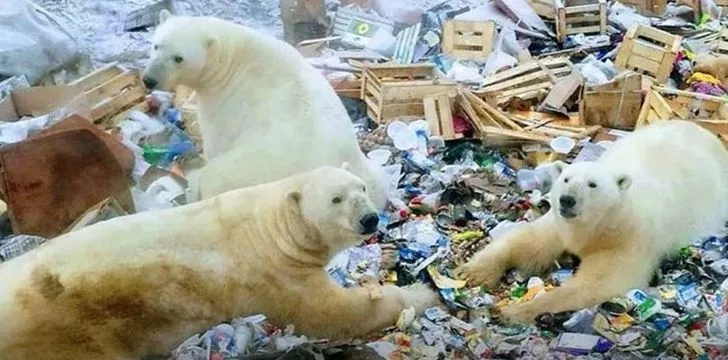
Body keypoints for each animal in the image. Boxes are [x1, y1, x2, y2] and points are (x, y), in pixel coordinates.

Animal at [0, 167, 438, 360]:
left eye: (360, 187)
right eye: (335, 199)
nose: (370, 219)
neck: (272, 229)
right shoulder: (274, 276)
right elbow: (332, 312)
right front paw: (423, 293)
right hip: (70, 334)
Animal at [143, 11, 390, 210]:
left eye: (178, 58)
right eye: (156, 45)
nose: (149, 80)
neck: (232, 57)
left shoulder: (226, 101)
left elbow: (216, 141)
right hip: (365, 169)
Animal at [458, 120, 728, 324]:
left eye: (592, 184)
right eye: (566, 179)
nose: (567, 200)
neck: (599, 225)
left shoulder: (627, 239)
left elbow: (598, 283)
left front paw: (512, 311)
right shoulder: (560, 225)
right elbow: (528, 243)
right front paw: (474, 273)